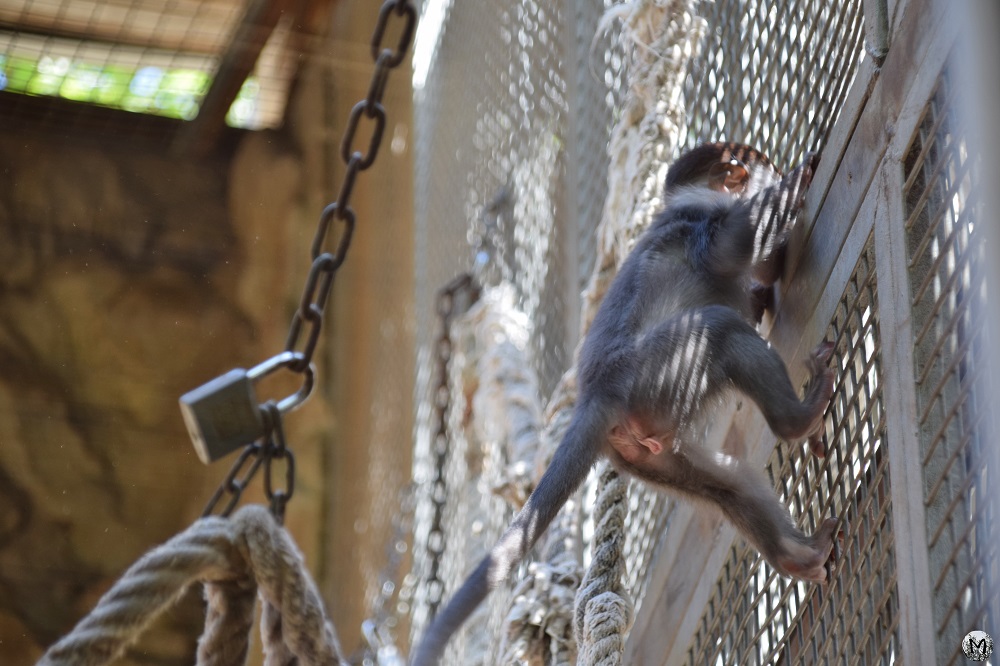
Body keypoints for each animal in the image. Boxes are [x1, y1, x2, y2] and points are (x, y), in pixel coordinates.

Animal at [411, 142, 841, 666]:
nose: (781, 169)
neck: (686, 203)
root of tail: (597, 394)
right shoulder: (700, 225)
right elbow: (739, 242)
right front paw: (804, 172)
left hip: (642, 449)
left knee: (728, 487)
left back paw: (797, 554)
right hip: (654, 375)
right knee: (716, 327)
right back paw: (797, 419)